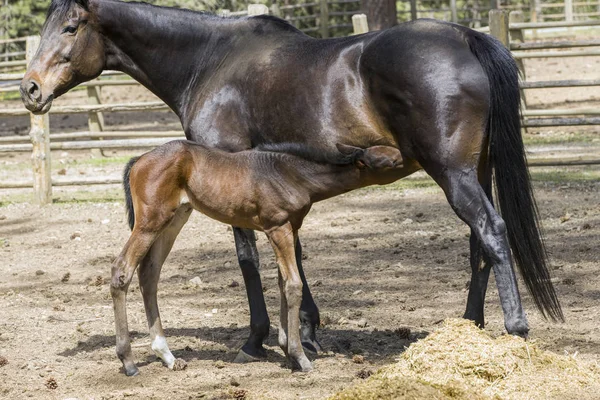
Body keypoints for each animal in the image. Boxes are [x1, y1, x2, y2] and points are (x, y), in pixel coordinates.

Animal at [112, 140, 404, 376]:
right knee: (122, 269)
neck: (291, 174)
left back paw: (168, 357)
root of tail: (139, 160)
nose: (406, 155)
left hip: (175, 219)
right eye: (391, 161)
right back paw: (129, 361)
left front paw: (287, 351)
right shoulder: (278, 227)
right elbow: (294, 284)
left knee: (149, 273)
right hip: (150, 222)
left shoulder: (290, 229)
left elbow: (283, 282)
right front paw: (300, 358)